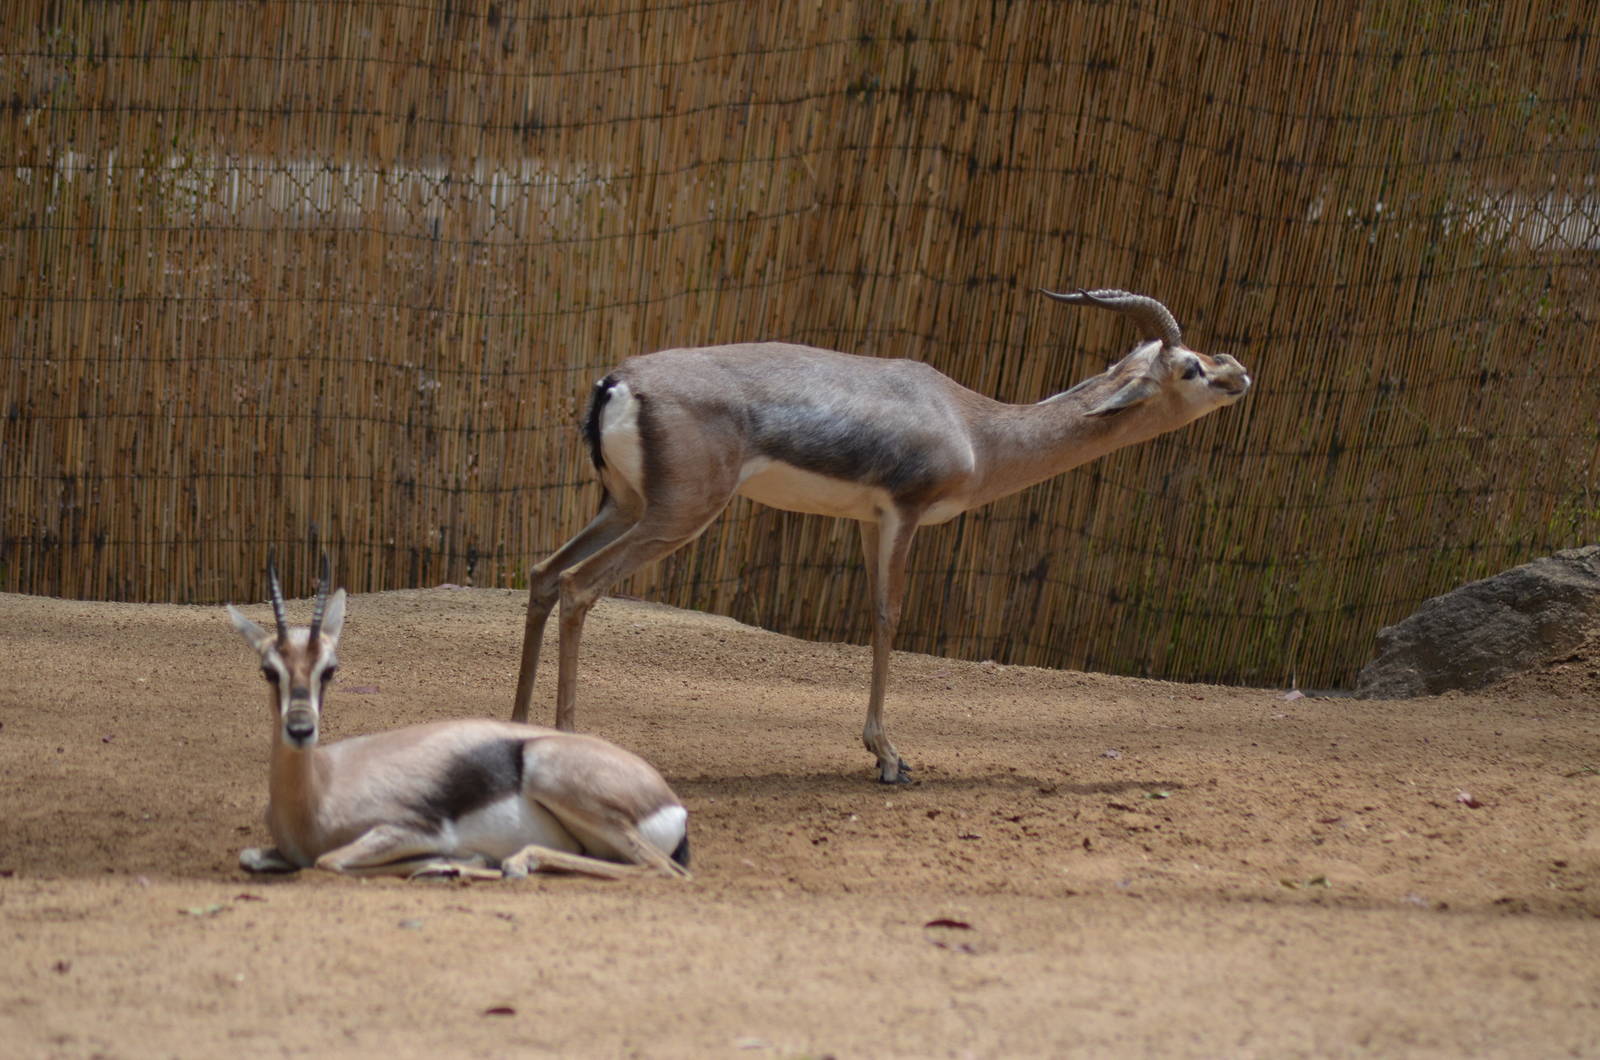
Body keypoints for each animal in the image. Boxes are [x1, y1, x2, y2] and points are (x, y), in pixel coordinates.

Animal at [228, 556, 690, 880]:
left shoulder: (413, 830)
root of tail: (672, 803)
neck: (319, 791)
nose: (300, 729)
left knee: (663, 868)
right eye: (269, 670)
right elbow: (252, 855)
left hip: (556, 778)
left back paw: (499, 864)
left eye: (330, 669)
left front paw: (459, 861)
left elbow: (329, 860)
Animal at [511, 288, 1251, 783]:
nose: (1239, 372)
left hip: (626, 506)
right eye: (1189, 366)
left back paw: (514, 728)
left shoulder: (869, 520)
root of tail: (617, 380)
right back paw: (568, 742)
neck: (974, 426)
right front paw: (890, 757)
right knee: (578, 586)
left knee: (544, 575)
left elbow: (874, 613)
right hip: (678, 514)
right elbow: (889, 615)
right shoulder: (903, 512)